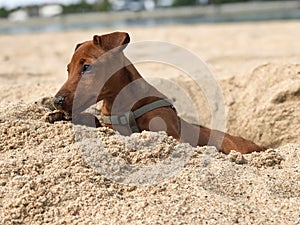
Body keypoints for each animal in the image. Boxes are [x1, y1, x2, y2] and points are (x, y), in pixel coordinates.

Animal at [52, 31, 266, 155]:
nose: (56, 101)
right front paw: (58, 116)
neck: (121, 106)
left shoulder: (173, 136)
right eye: (67, 69)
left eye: (86, 67)